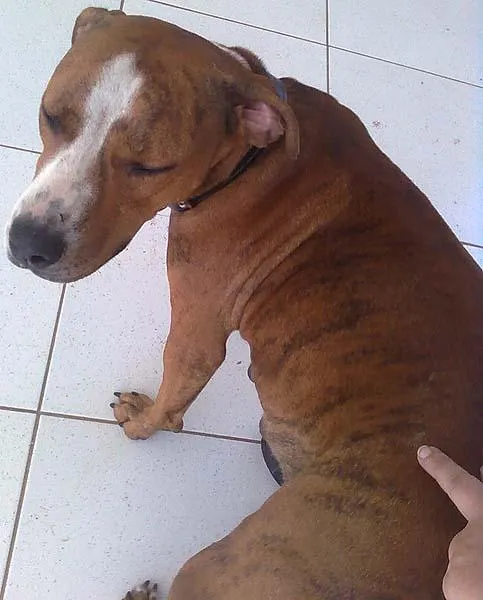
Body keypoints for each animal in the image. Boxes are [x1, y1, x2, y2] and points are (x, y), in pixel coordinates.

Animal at [6, 7, 483, 599]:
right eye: (51, 116)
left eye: (149, 167)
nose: (29, 243)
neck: (249, 158)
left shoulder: (196, 334)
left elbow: (171, 403)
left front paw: (143, 423)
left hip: (235, 560)